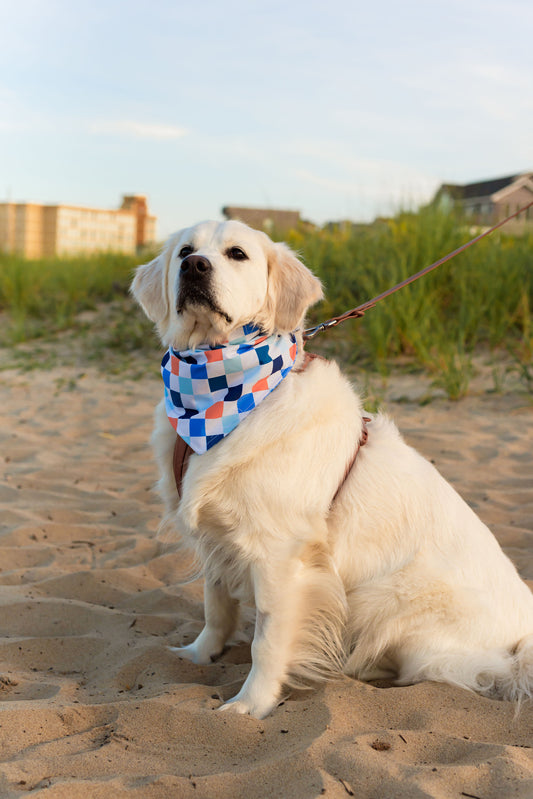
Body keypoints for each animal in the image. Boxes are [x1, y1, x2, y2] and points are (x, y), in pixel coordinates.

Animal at [131, 217, 532, 720]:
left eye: (237, 254)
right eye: (185, 250)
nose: (195, 267)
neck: (218, 396)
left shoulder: (280, 556)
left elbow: (267, 641)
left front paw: (250, 705)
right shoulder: (217, 537)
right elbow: (216, 607)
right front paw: (200, 654)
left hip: (386, 602)